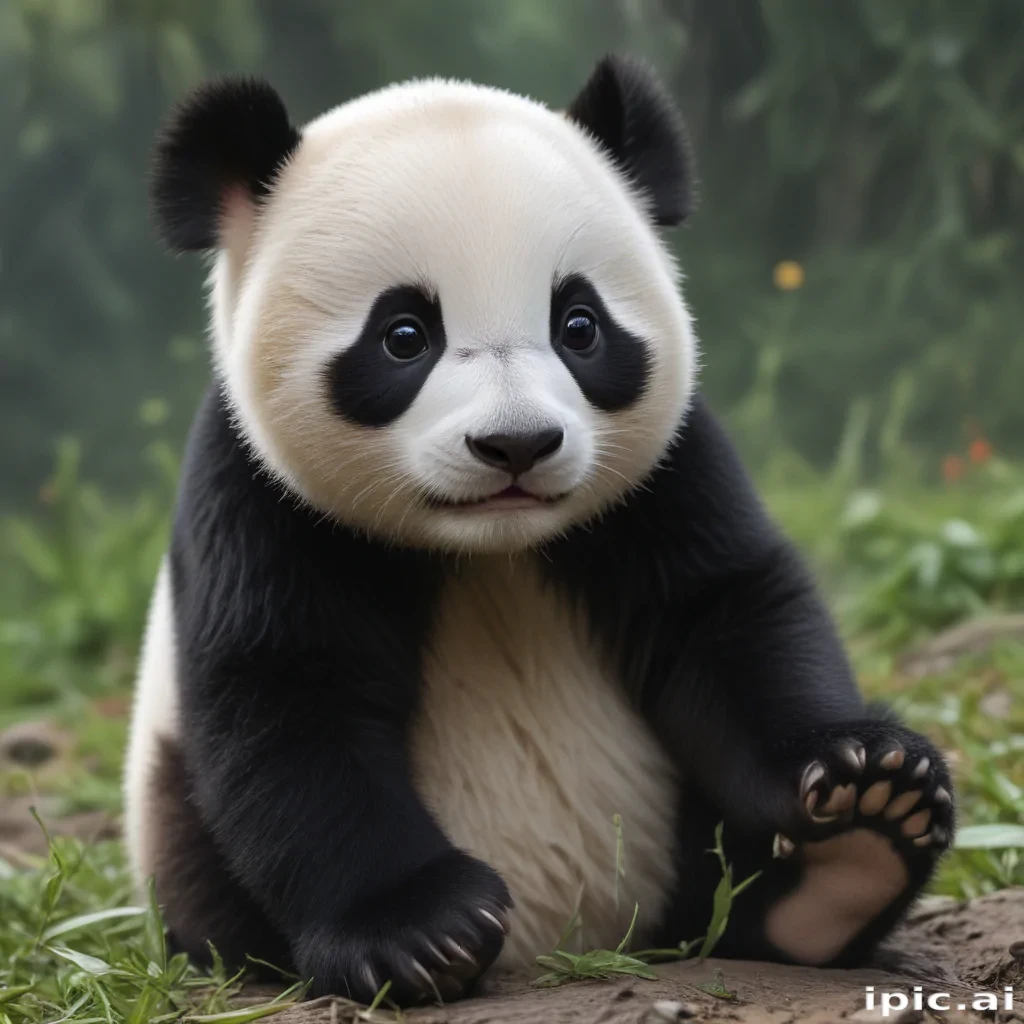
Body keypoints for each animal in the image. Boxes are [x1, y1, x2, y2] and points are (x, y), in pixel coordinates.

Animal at [124, 55, 955, 1006]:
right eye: (404, 335)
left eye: (579, 326)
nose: (516, 444)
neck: (489, 547)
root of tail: (583, 943)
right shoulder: (258, 493)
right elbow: (286, 691)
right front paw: (420, 931)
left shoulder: (669, 470)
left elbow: (727, 611)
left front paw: (863, 777)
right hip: (173, 817)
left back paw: (850, 863)